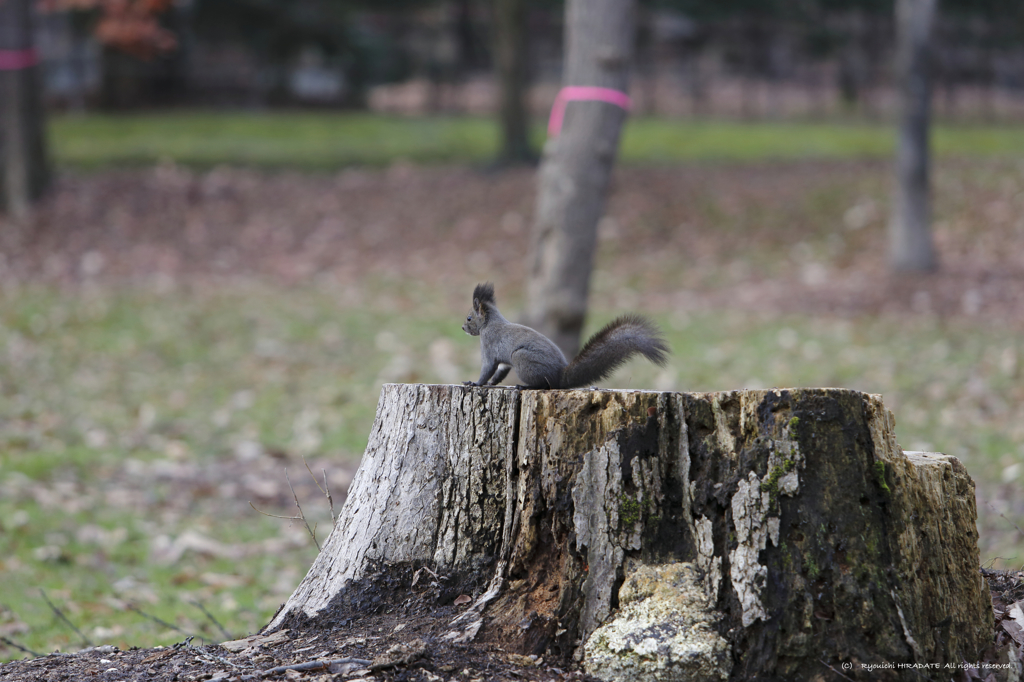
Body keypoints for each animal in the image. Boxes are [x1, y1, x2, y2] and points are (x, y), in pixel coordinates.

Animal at [464, 280, 671, 387]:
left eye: (469, 318)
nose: (462, 328)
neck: (490, 322)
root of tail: (559, 376)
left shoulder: (489, 345)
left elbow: (487, 368)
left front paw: (476, 383)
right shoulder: (503, 361)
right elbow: (500, 371)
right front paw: (491, 384)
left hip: (521, 358)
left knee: (543, 385)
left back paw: (525, 385)